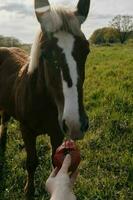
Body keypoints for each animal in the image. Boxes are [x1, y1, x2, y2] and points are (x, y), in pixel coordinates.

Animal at [0, 0, 90, 198]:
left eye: (86, 50)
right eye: (46, 53)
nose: (75, 123)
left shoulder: (57, 132)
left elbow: (55, 162)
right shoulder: (26, 130)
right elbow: (31, 162)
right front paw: (29, 191)